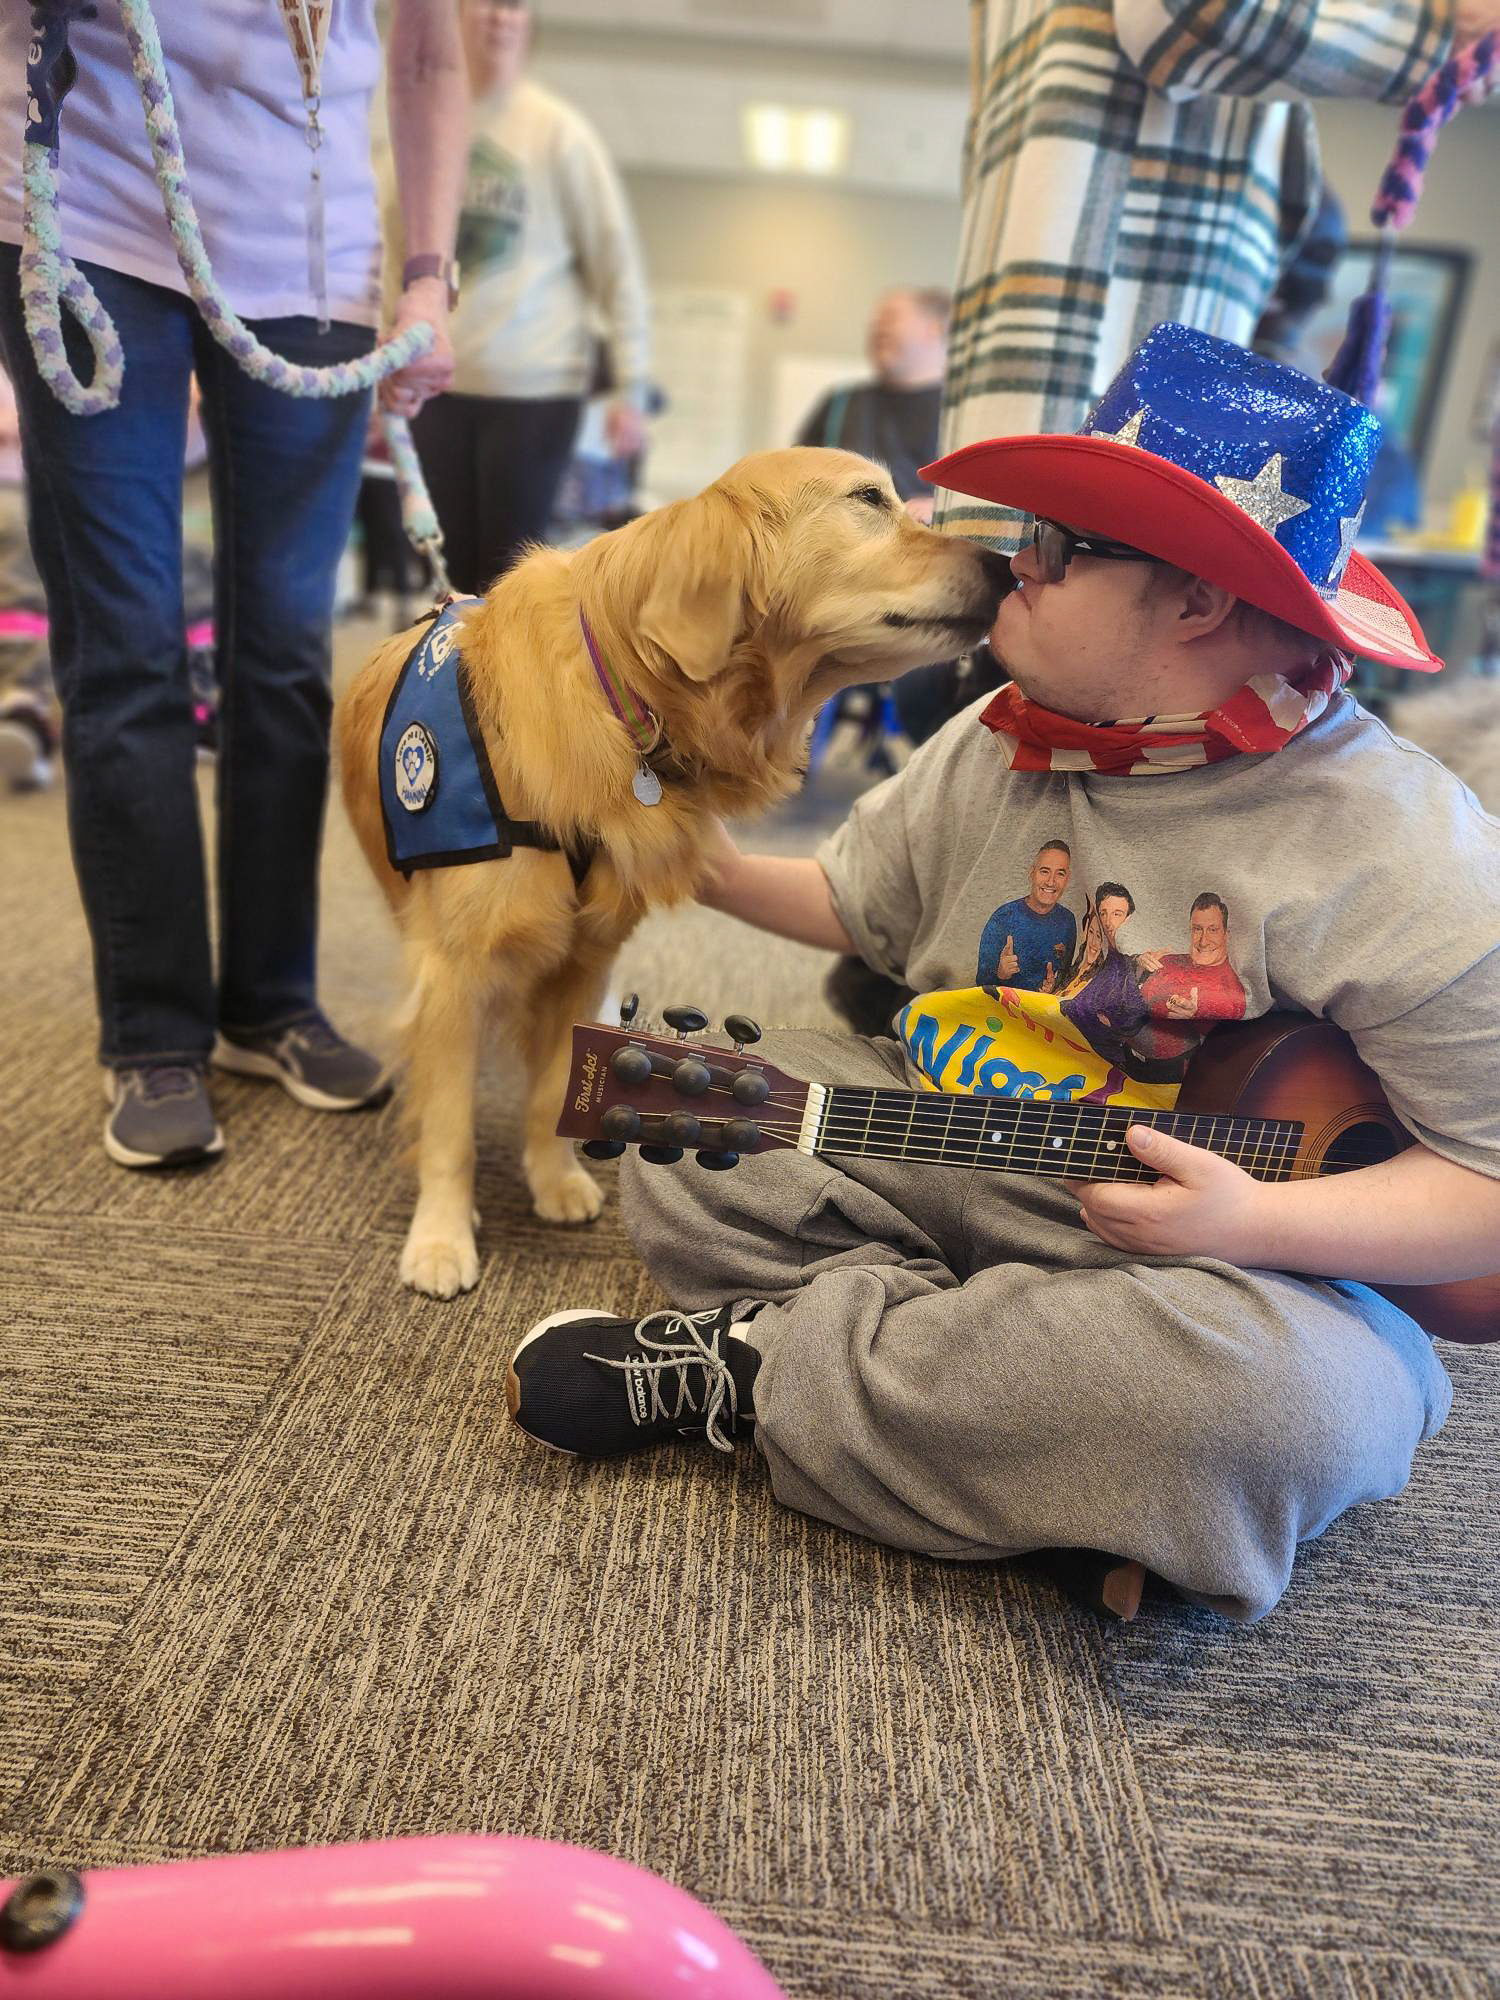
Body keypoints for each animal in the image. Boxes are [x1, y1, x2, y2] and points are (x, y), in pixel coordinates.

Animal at [336, 446, 1009, 1296]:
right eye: (868, 499)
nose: (1009, 566)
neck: (627, 697)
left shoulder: (585, 958)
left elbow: (555, 1083)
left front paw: (555, 1177)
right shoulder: (454, 968)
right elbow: (449, 1123)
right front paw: (439, 1238)